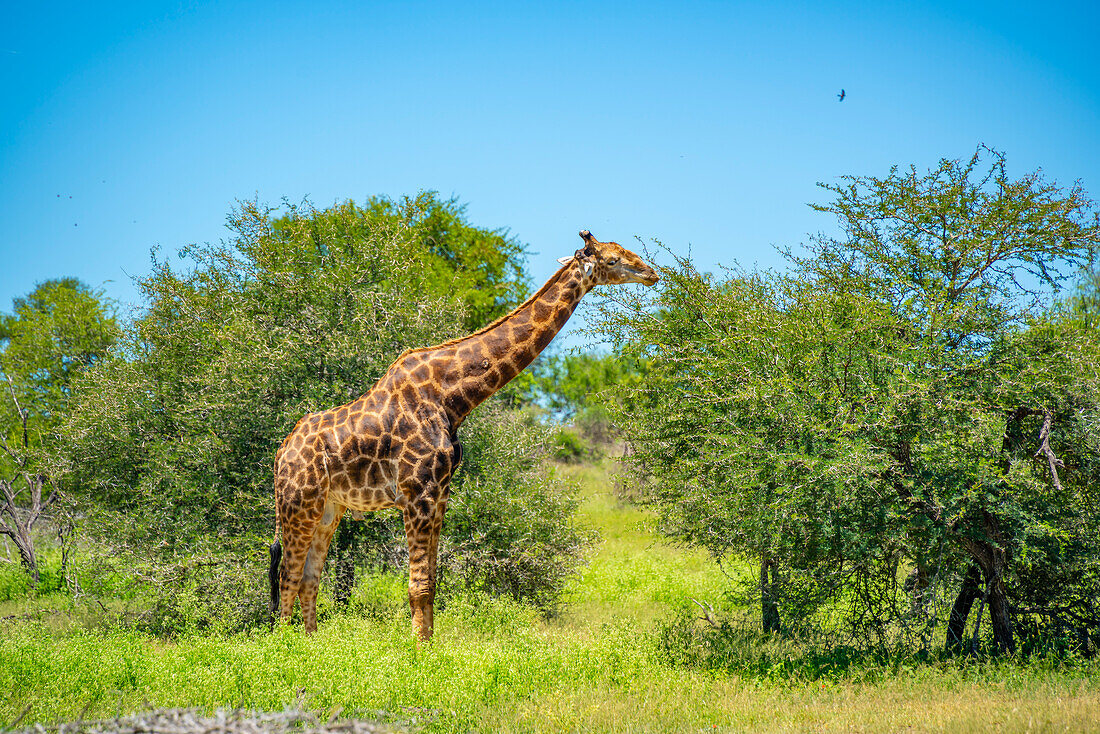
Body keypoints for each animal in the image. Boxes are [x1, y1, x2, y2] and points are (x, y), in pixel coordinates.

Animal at [269, 229, 655, 638]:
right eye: (612, 260)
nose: (652, 273)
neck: (452, 397)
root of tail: (280, 454)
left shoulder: (440, 493)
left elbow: (432, 582)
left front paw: (430, 646)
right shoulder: (418, 493)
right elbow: (418, 586)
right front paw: (419, 650)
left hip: (329, 509)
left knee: (308, 579)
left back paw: (312, 644)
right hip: (299, 503)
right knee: (288, 577)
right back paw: (286, 648)